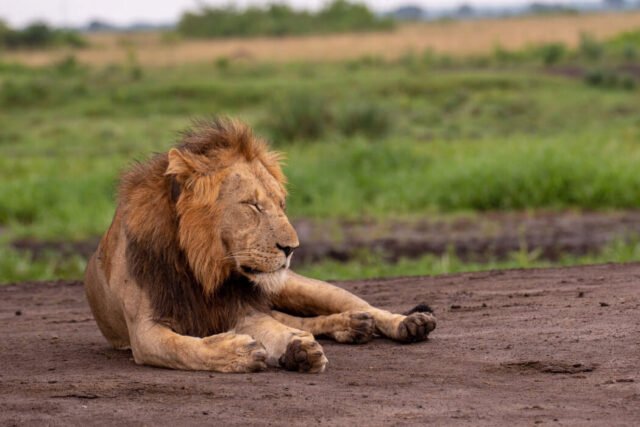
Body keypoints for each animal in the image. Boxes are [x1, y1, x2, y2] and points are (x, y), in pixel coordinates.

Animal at [84, 118, 436, 373]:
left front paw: (296, 348)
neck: (204, 268)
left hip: (299, 286)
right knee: (303, 320)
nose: (292, 247)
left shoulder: (240, 308)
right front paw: (239, 351)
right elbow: (183, 348)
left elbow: (271, 327)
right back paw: (350, 327)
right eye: (253, 205)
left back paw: (409, 323)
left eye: (281, 204)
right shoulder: (144, 332)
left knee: (362, 307)